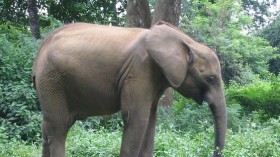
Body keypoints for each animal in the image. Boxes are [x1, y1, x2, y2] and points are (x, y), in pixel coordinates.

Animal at [31, 21, 226, 157]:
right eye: (211, 78)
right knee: (58, 127)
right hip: (51, 80)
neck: (186, 41)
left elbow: (151, 120)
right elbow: (136, 117)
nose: (214, 152)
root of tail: (39, 51)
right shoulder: (139, 71)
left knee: (47, 127)